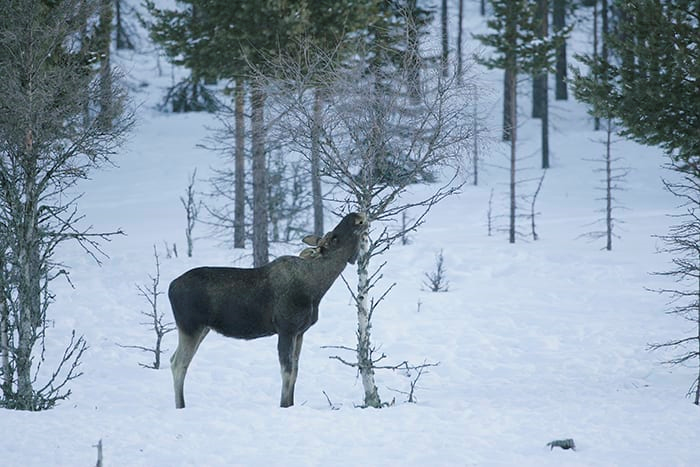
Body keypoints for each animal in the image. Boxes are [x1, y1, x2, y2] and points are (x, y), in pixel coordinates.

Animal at [168, 213, 366, 410]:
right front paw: (284, 405)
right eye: (333, 238)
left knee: (173, 359)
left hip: (203, 328)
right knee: (179, 364)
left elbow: (295, 371)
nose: (357, 216)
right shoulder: (286, 329)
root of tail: (171, 287)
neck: (316, 289)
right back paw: (180, 406)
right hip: (190, 326)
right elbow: (287, 371)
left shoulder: (300, 333)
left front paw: (291, 404)